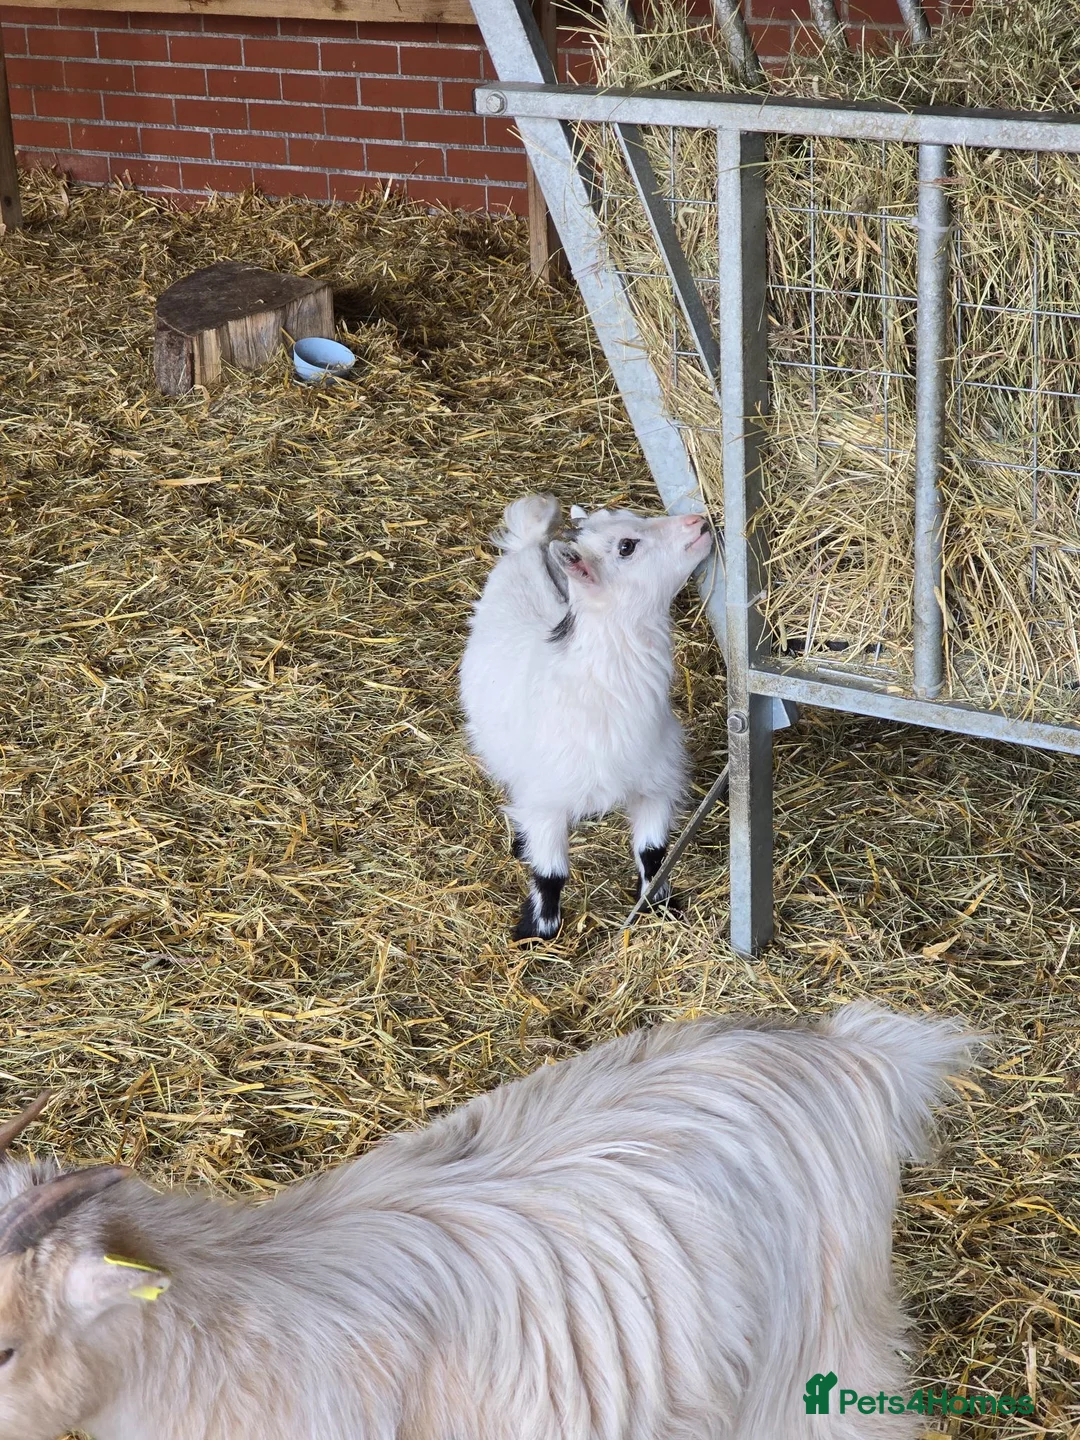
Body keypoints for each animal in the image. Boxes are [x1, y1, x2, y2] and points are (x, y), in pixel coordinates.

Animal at [459, 494, 713, 940]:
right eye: (626, 546)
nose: (699, 521)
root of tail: (528, 549)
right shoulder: (547, 799)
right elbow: (550, 873)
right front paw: (537, 931)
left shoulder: (655, 783)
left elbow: (653, 853)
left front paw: (659, 906)